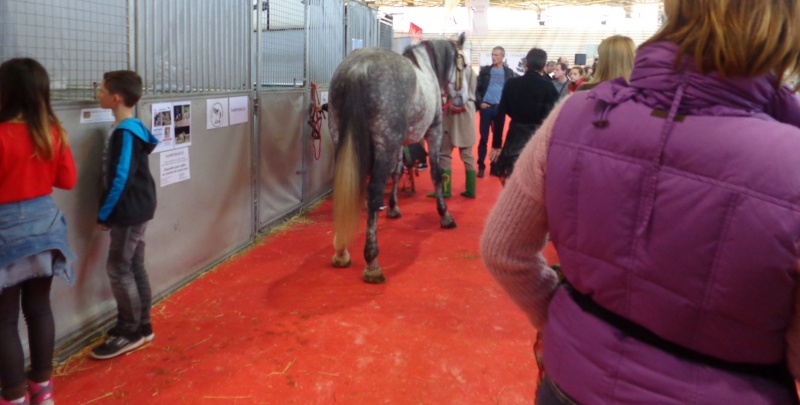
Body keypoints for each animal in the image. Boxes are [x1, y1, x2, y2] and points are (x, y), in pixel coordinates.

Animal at [330, 33, 472, 282]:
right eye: (463, 65)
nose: (462, 99)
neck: (425, 67)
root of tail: (359, 67)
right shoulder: (433, 131)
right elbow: (436, 173)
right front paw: (445, 215)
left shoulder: (399, 144)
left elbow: (397, 172)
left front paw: (394, 208)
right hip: (384, 144)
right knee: (373, 192)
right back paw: (372, 263)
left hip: (345, 141)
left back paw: (341, 251)